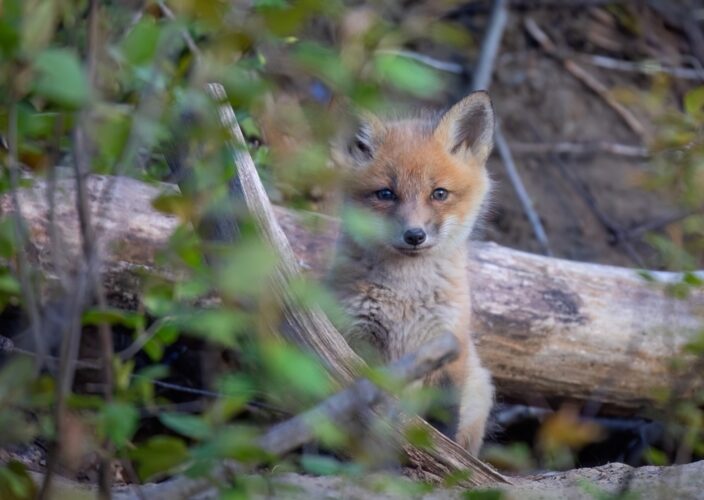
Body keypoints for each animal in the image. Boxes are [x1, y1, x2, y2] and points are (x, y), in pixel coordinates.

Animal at [326, 90, 496, 454]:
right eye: (386, 194)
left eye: (439, 193)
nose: (414, 235)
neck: (405, 300)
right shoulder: (356, 338)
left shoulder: (448, 348)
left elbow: (443, 420)